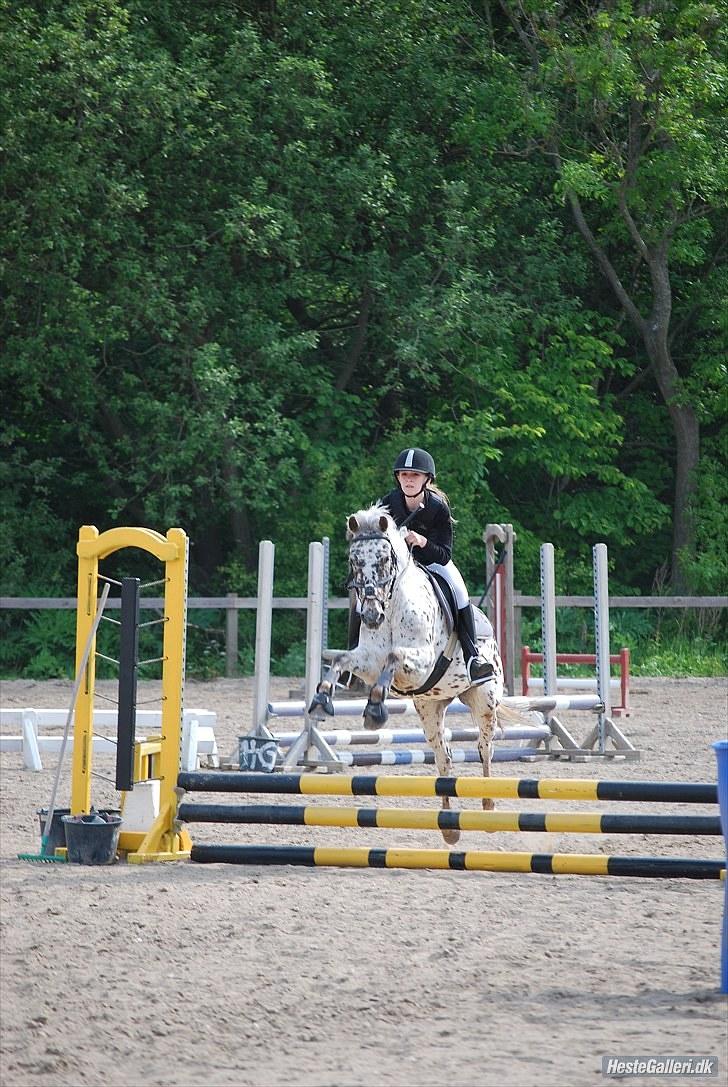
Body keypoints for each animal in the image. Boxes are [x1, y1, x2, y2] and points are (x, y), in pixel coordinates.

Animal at [308, 504, 508, 843]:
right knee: (444, 756)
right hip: (430, 708)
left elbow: (395, 655)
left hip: (484, 699)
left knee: (485, 749)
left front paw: (375, 708)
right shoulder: (368, 661)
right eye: (354, 560)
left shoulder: (422, 661)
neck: (391, 605)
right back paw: (450, 826)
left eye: (384, 559)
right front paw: (322, 701)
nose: (371, 614)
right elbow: (340, 661)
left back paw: (489, 807)